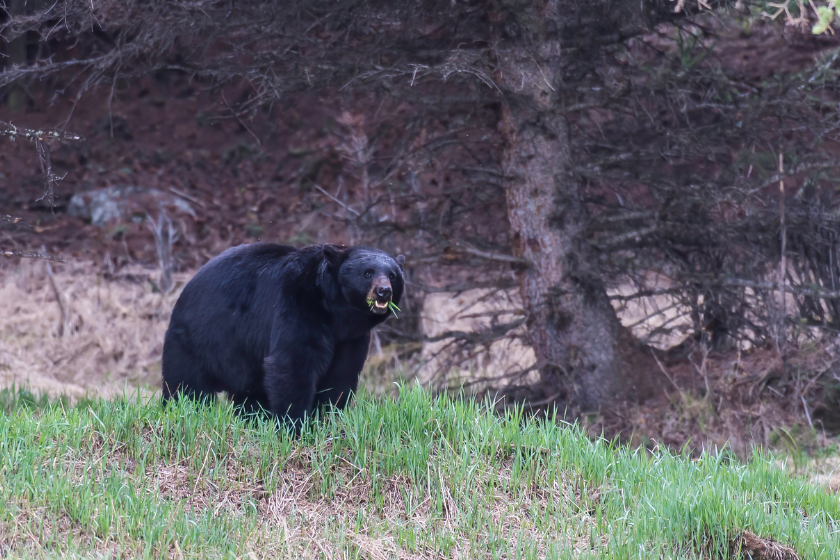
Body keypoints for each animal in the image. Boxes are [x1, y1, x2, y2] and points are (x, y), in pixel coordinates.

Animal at [162, 243, 406, 426]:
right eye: (367, 273)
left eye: (393, 275)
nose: (384, 291)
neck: (337, 313)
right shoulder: (298, 305)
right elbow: (293, 362)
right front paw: (295, 423)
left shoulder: (352, 339)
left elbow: (342, 374)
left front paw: (328, 416)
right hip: (198, 340)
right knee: (185, 386)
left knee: (249, 394)